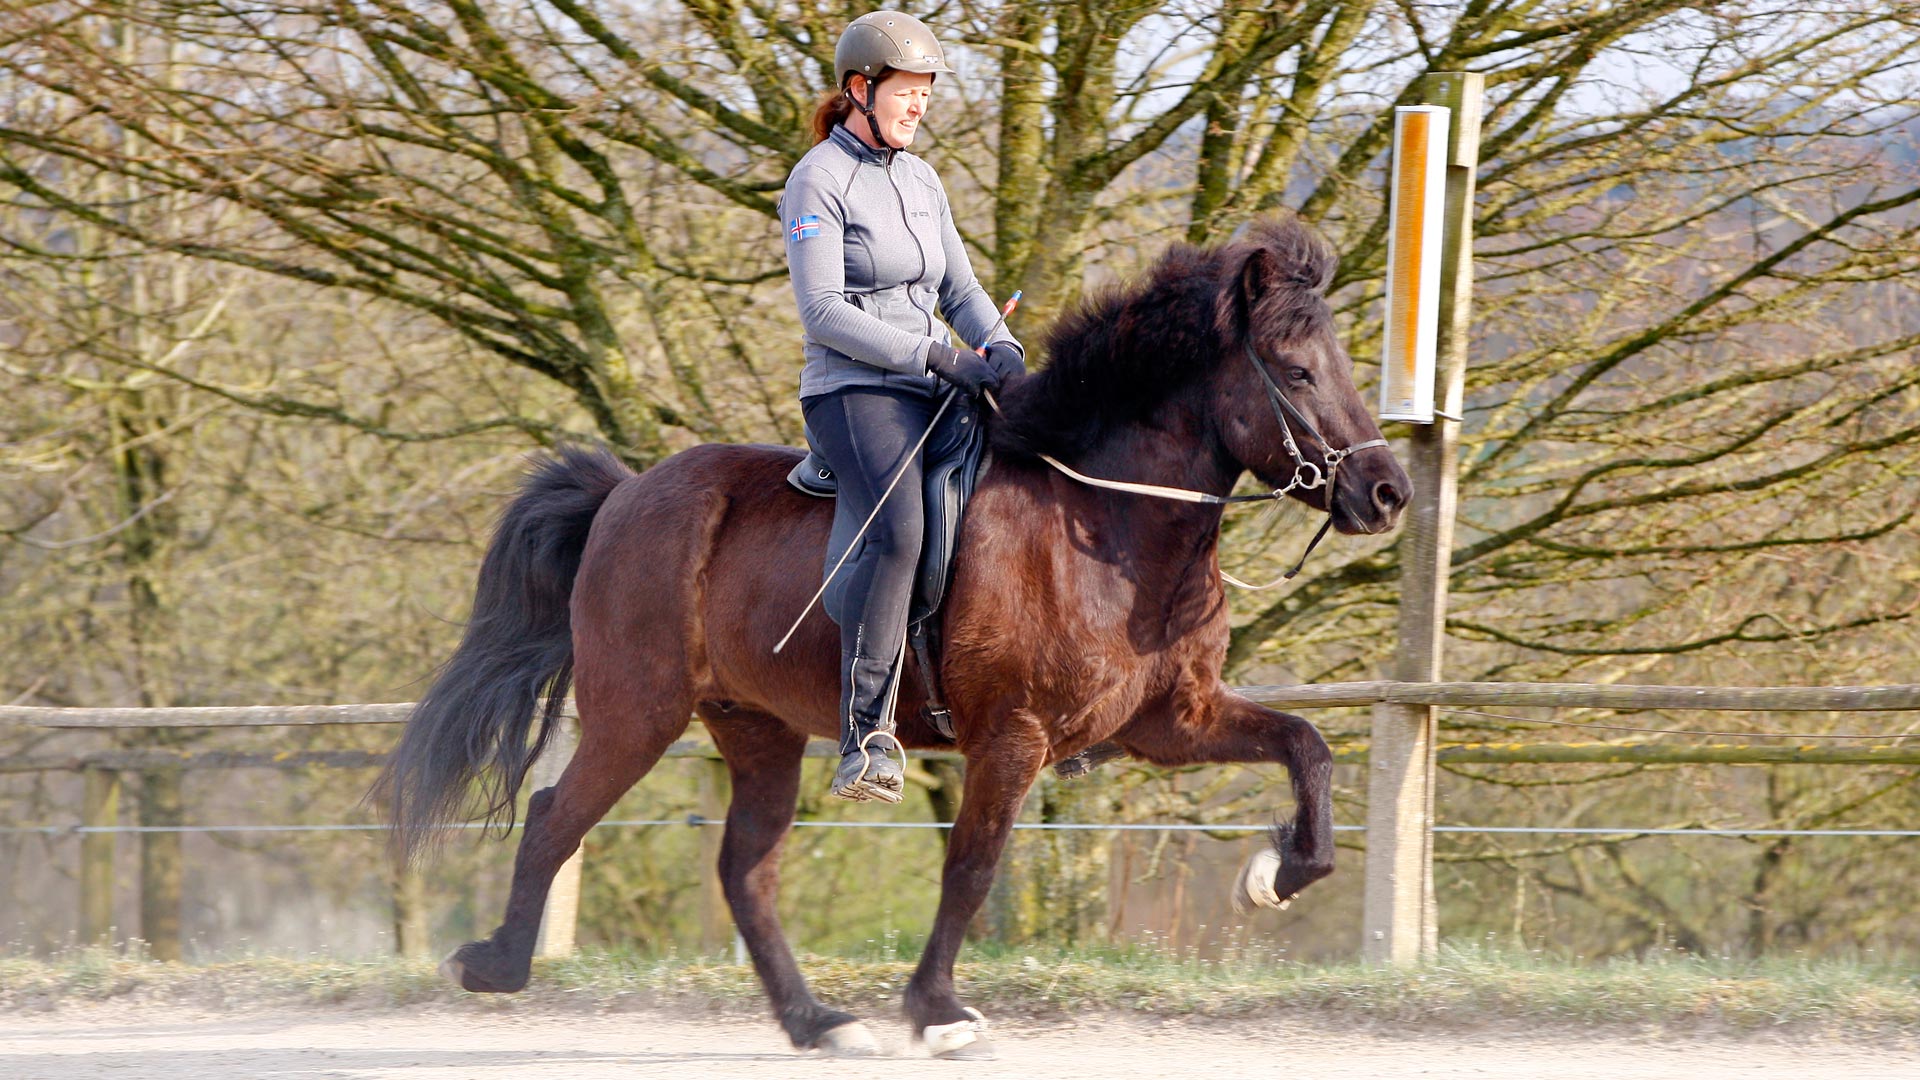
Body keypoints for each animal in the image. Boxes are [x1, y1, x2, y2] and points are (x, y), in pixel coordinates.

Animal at [378, 214, 1413, 1053]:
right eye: (1297, 372)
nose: (1388, 493)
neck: (1106, 518)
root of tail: (625, 493)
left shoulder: (1170, 722)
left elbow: (1308, 747)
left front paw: (1277, 872)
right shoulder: (1014, 737)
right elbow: (972, 868)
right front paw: (940, 1010)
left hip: (755, 727)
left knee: (744, 871)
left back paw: (817, 1023)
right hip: (639, 712)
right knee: (557, 816)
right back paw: (495, 964)